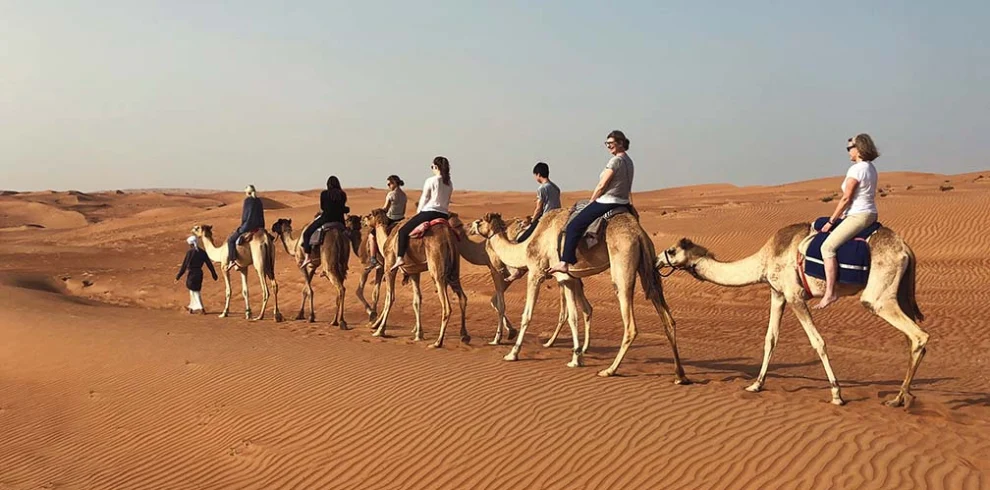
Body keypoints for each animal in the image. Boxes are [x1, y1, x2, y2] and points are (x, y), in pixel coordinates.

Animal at [366, 209, 468, 348]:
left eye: (370, 215)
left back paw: (438, 342)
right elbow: (417, 300)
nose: (363, 219)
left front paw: (379, 330)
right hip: (454, 268)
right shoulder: (414, 272)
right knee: (462, 297)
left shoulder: (389, 267)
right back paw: (464, 336)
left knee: (446, 305)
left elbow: (389, 298)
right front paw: (418, 334)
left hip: (437, 267)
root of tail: (448, 236)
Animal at [471, 209, 687, 382]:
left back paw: (610, 370)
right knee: (668, 319)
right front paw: (576, 358)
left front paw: (512, 353)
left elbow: (527, 315)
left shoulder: (536, 272)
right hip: (649, 267)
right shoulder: (566, 278)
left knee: (630, 324)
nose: (469, 226)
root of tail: (639, 233)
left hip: (622, 267)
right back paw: (680, 375)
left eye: (479, 221)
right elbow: (573, 317)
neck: (527, 245)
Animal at [657, 223, 927, 407]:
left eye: (671, 250)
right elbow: (770, 339)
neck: (765, 259)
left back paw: (898, 398)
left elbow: (818, 342)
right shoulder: (777, 293)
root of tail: (906, 249)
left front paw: (836, 394)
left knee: (918, 336)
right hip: (901, 292)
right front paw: (755, 385)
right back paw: (903, 396)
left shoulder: (795, 295)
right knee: (911, 338)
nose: (658, 260)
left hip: (878, 295)